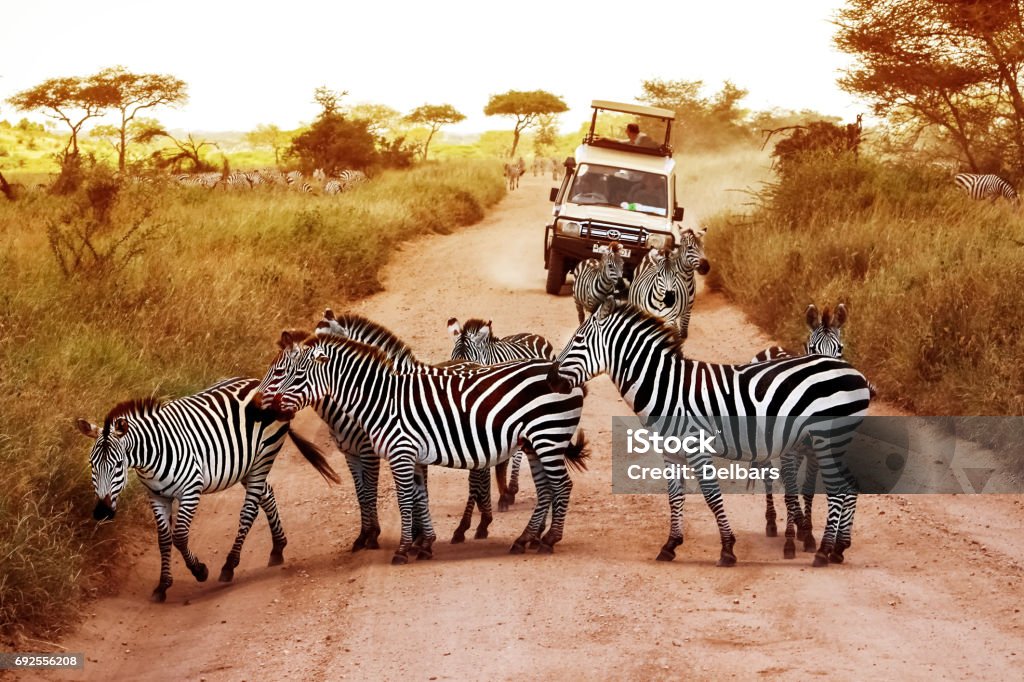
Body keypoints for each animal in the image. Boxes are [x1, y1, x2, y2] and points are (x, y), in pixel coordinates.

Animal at [76, 376, 339, 602]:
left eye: (118, 465)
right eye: (91, 464)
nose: (102, 513)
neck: (150, 458)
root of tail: (257, 381)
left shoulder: (190, 491)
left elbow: (180, 537)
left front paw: (200, 570)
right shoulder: (157, 497)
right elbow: (164, 540)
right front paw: (162, 586)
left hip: (263, 459)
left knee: (249, 511)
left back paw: (230, 565)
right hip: (246, 465)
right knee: (267, 494)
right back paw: (277, 547)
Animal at [552, 301, 872, 565]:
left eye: (578, 340)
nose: (553, 379)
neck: (667, 388)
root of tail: (853, 372)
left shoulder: (697, 448)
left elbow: (711, 496)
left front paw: (727, 549)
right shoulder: (671, 452)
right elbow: (675, 497)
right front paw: (670, 545)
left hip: (826, 439)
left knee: (838, 490)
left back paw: (823, 552)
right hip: (833, 442)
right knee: (850, 486)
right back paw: (838, 548)